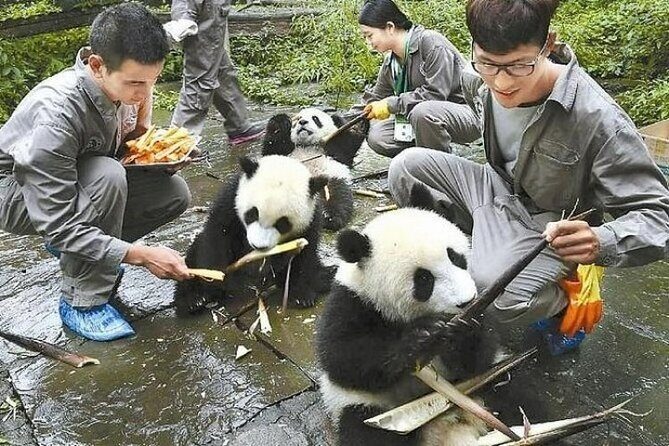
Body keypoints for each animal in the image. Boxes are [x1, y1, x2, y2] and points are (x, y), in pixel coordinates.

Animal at [173, 155, 332, 315]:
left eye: (282, 223)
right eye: (252, 214)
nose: (258, 246)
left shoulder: (311, 219)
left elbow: (305, 254)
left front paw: (302, 295)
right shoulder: (231, 200)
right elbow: (218, 235)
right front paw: (215, 281)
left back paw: (325, 277)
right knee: (193, 257)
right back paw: (193, 300)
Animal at [315, 199, 498, 445]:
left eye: (455, 257)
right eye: (424, 279)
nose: (466, 301)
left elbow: (478, 359)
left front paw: (466, 329)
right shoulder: (353, 302)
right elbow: (341, 357)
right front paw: (422, 335)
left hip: (483, 383)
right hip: (367, 408)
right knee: (365, 431)